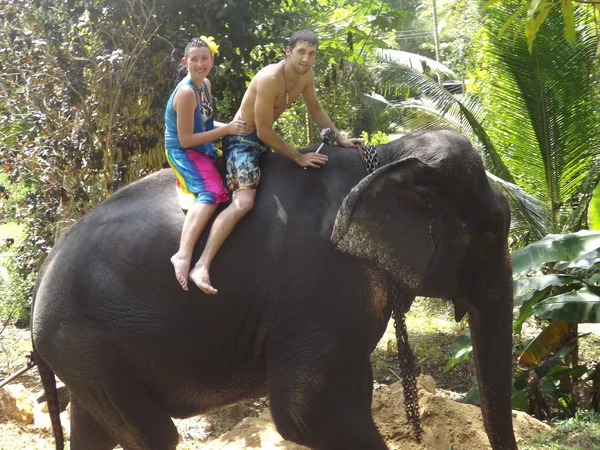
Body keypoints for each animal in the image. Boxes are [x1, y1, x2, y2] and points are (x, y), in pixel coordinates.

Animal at [30, 128, 516, 448]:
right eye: (494, 229)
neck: (389, 155)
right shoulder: (320, 290)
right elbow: (306, 414)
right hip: (83, 343)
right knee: (152, 436)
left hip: (84, 356)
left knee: (94, 430)